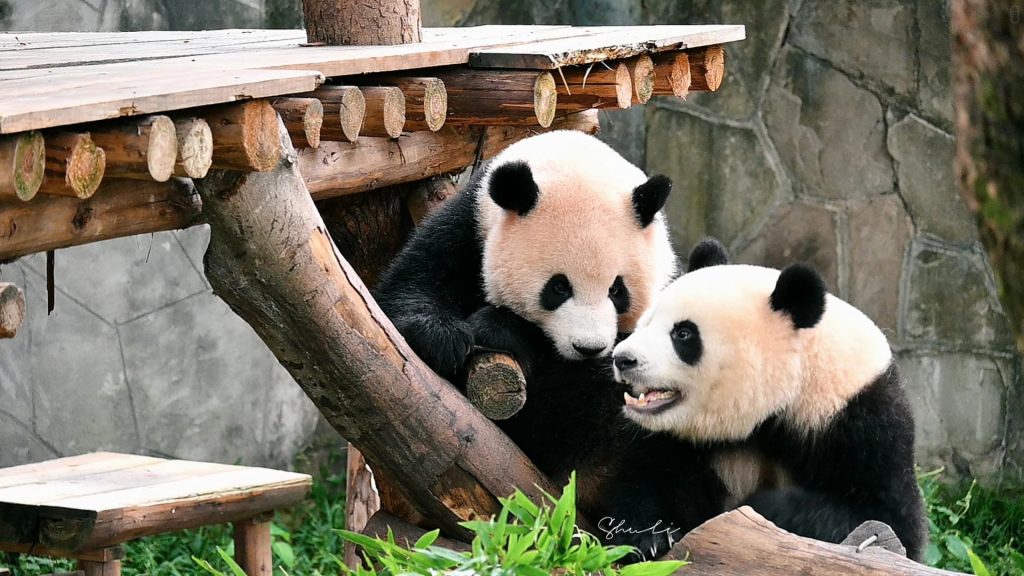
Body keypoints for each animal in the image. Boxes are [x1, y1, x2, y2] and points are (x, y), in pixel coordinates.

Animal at [374, 130, 680, 525]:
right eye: (559, 287)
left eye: (617, 290)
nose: (590, 348)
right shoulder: (468, 228)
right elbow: (408, 288)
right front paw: (444, 338)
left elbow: (576, 402)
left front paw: (499, 327)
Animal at [610, 239, 928, 560]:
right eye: (646, 322)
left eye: (683, 333)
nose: (622, 359)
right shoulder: (673, 439)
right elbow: (647, 478)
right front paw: (648, 537)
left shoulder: (862, 421)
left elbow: (884, 518)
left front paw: (761, 509)